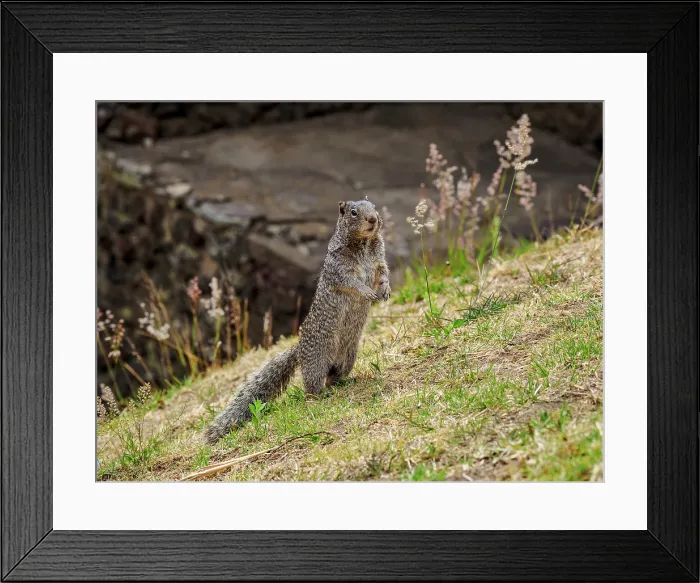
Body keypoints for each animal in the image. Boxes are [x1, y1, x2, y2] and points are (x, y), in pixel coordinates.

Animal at [203, 199, 391, 444]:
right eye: (353, 212)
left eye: (374, 206)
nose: (373, 219)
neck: (364, 244)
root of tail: (299, 349)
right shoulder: (339, 269)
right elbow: (351, 282)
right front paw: (367, 292)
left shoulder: (378, 259)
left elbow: (383, 272)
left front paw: (385, 289)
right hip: (316, 363)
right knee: (312, 387)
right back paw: (319, 395)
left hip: (349, 358)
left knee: (334, 376)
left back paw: (346, 382)